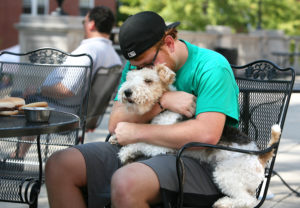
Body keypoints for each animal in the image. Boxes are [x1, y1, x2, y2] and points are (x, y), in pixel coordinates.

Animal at [110, 63, 282, 208]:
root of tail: (261, 157)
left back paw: (223, 203)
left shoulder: (163, 145)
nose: (126, 92)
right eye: (129, 79)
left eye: (148, 81)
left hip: (225, 174)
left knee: (248, 200)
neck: (166, 110)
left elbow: (140, 142)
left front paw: (125, 153)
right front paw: (115, 138)